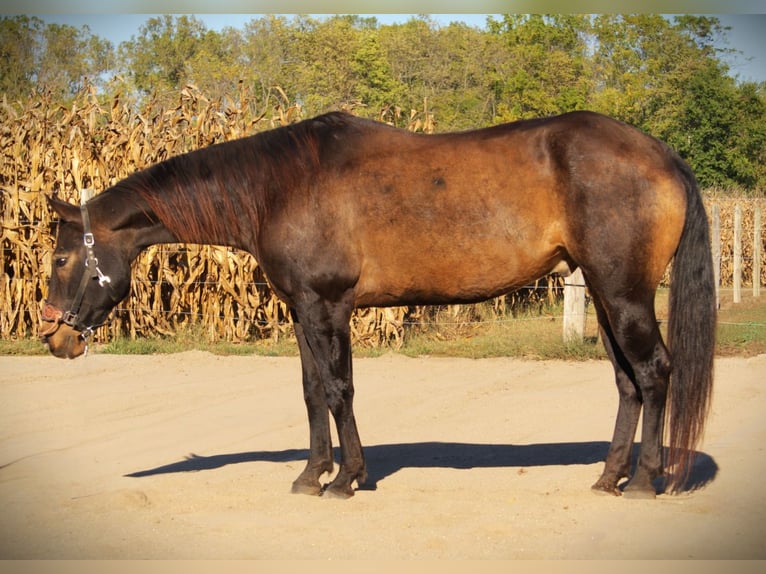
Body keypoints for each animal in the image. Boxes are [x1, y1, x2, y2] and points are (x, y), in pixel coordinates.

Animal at [40, 110, 716, 499]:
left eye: (62, 258)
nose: (54, 337)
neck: (280, 185)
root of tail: (662, 154)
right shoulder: (302, 312)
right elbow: (313, 392)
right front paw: (311, 474)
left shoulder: (328, 308)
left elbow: (340, 390)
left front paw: (345, 478)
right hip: (603, 295)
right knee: (628, 383)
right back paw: (608, 476)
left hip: (624, 294)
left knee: (655, 373)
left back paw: (643, 481)